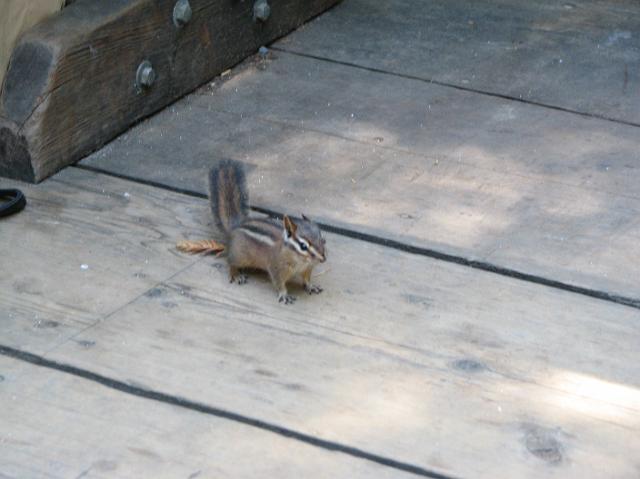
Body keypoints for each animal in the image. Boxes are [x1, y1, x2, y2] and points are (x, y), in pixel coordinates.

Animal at [209, 159, 326, 304]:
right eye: (303, 246)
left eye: (322, 239)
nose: (323, 259)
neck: (300, 261)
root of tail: (236, 225)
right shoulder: (276, 268)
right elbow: (279, 283)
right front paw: (284, 294)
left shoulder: (307, 269)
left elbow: (306, 279)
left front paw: (311, 286)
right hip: (239, 256)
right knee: (230, 262)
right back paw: (236, 274)